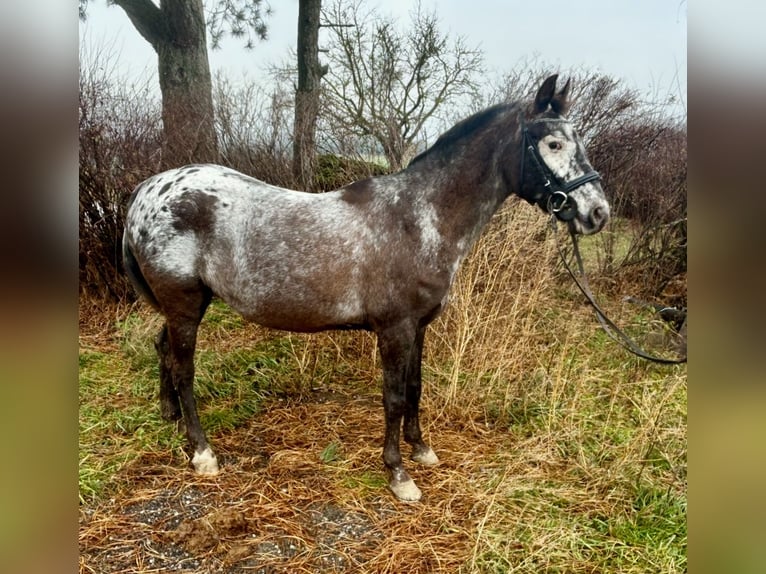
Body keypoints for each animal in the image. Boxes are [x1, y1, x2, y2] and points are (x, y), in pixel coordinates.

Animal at [121, 74, 612, 502]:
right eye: (553, 144)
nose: (598, 213)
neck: (418, 218)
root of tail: (147, 192)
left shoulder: (419, 326)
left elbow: (414, 387)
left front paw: (422, 449)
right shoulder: (394, 328)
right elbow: (392, 397)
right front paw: (398, 474)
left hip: (184, 305)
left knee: (163, 349)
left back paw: (170, 418)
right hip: (185, 303)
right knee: (184, 370)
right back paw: (202, 453)